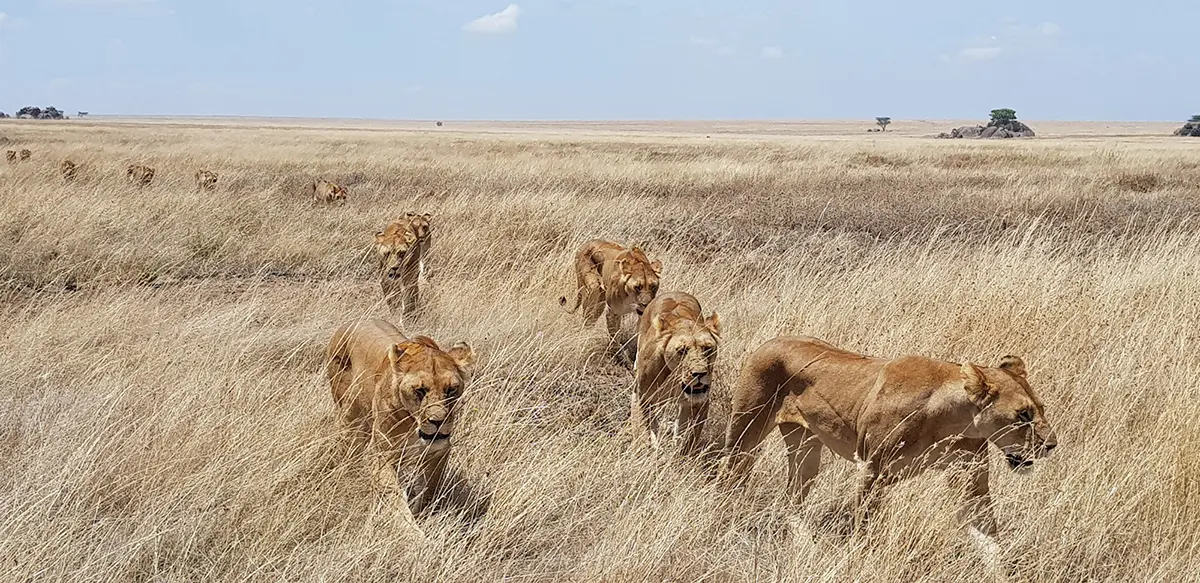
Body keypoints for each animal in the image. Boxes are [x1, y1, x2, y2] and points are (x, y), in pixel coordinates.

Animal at [328, 319, 477, 532]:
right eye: (420, 390)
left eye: (451, 389)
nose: (438, 421)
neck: (413, 424)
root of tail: (355, 321)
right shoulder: (382, 455)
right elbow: (395, 498)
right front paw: (412, 533)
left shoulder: (439, 452)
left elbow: (429, 490)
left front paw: (423, 515)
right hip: (350, 419)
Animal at [628, 291, 720, 455]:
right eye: (682, 350)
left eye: (707, 348)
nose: (699, 373)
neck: (676, 378)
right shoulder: (641, 395)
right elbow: (643, 430)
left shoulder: (699, 402)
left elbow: (688, 437)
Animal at [715, 335, 1056, 568]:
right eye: (1023, 415)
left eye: (1040, 409)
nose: (1052, 445)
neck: (951, 419)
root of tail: (773, 339)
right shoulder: (872, 470)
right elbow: (864, 524)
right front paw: (858, 558)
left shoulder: (971, 477)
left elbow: (988, 538)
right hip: (746, 430)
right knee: (729, 473)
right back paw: (723, 519)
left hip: (806, 449)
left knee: (791, 500)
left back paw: (805, 546)